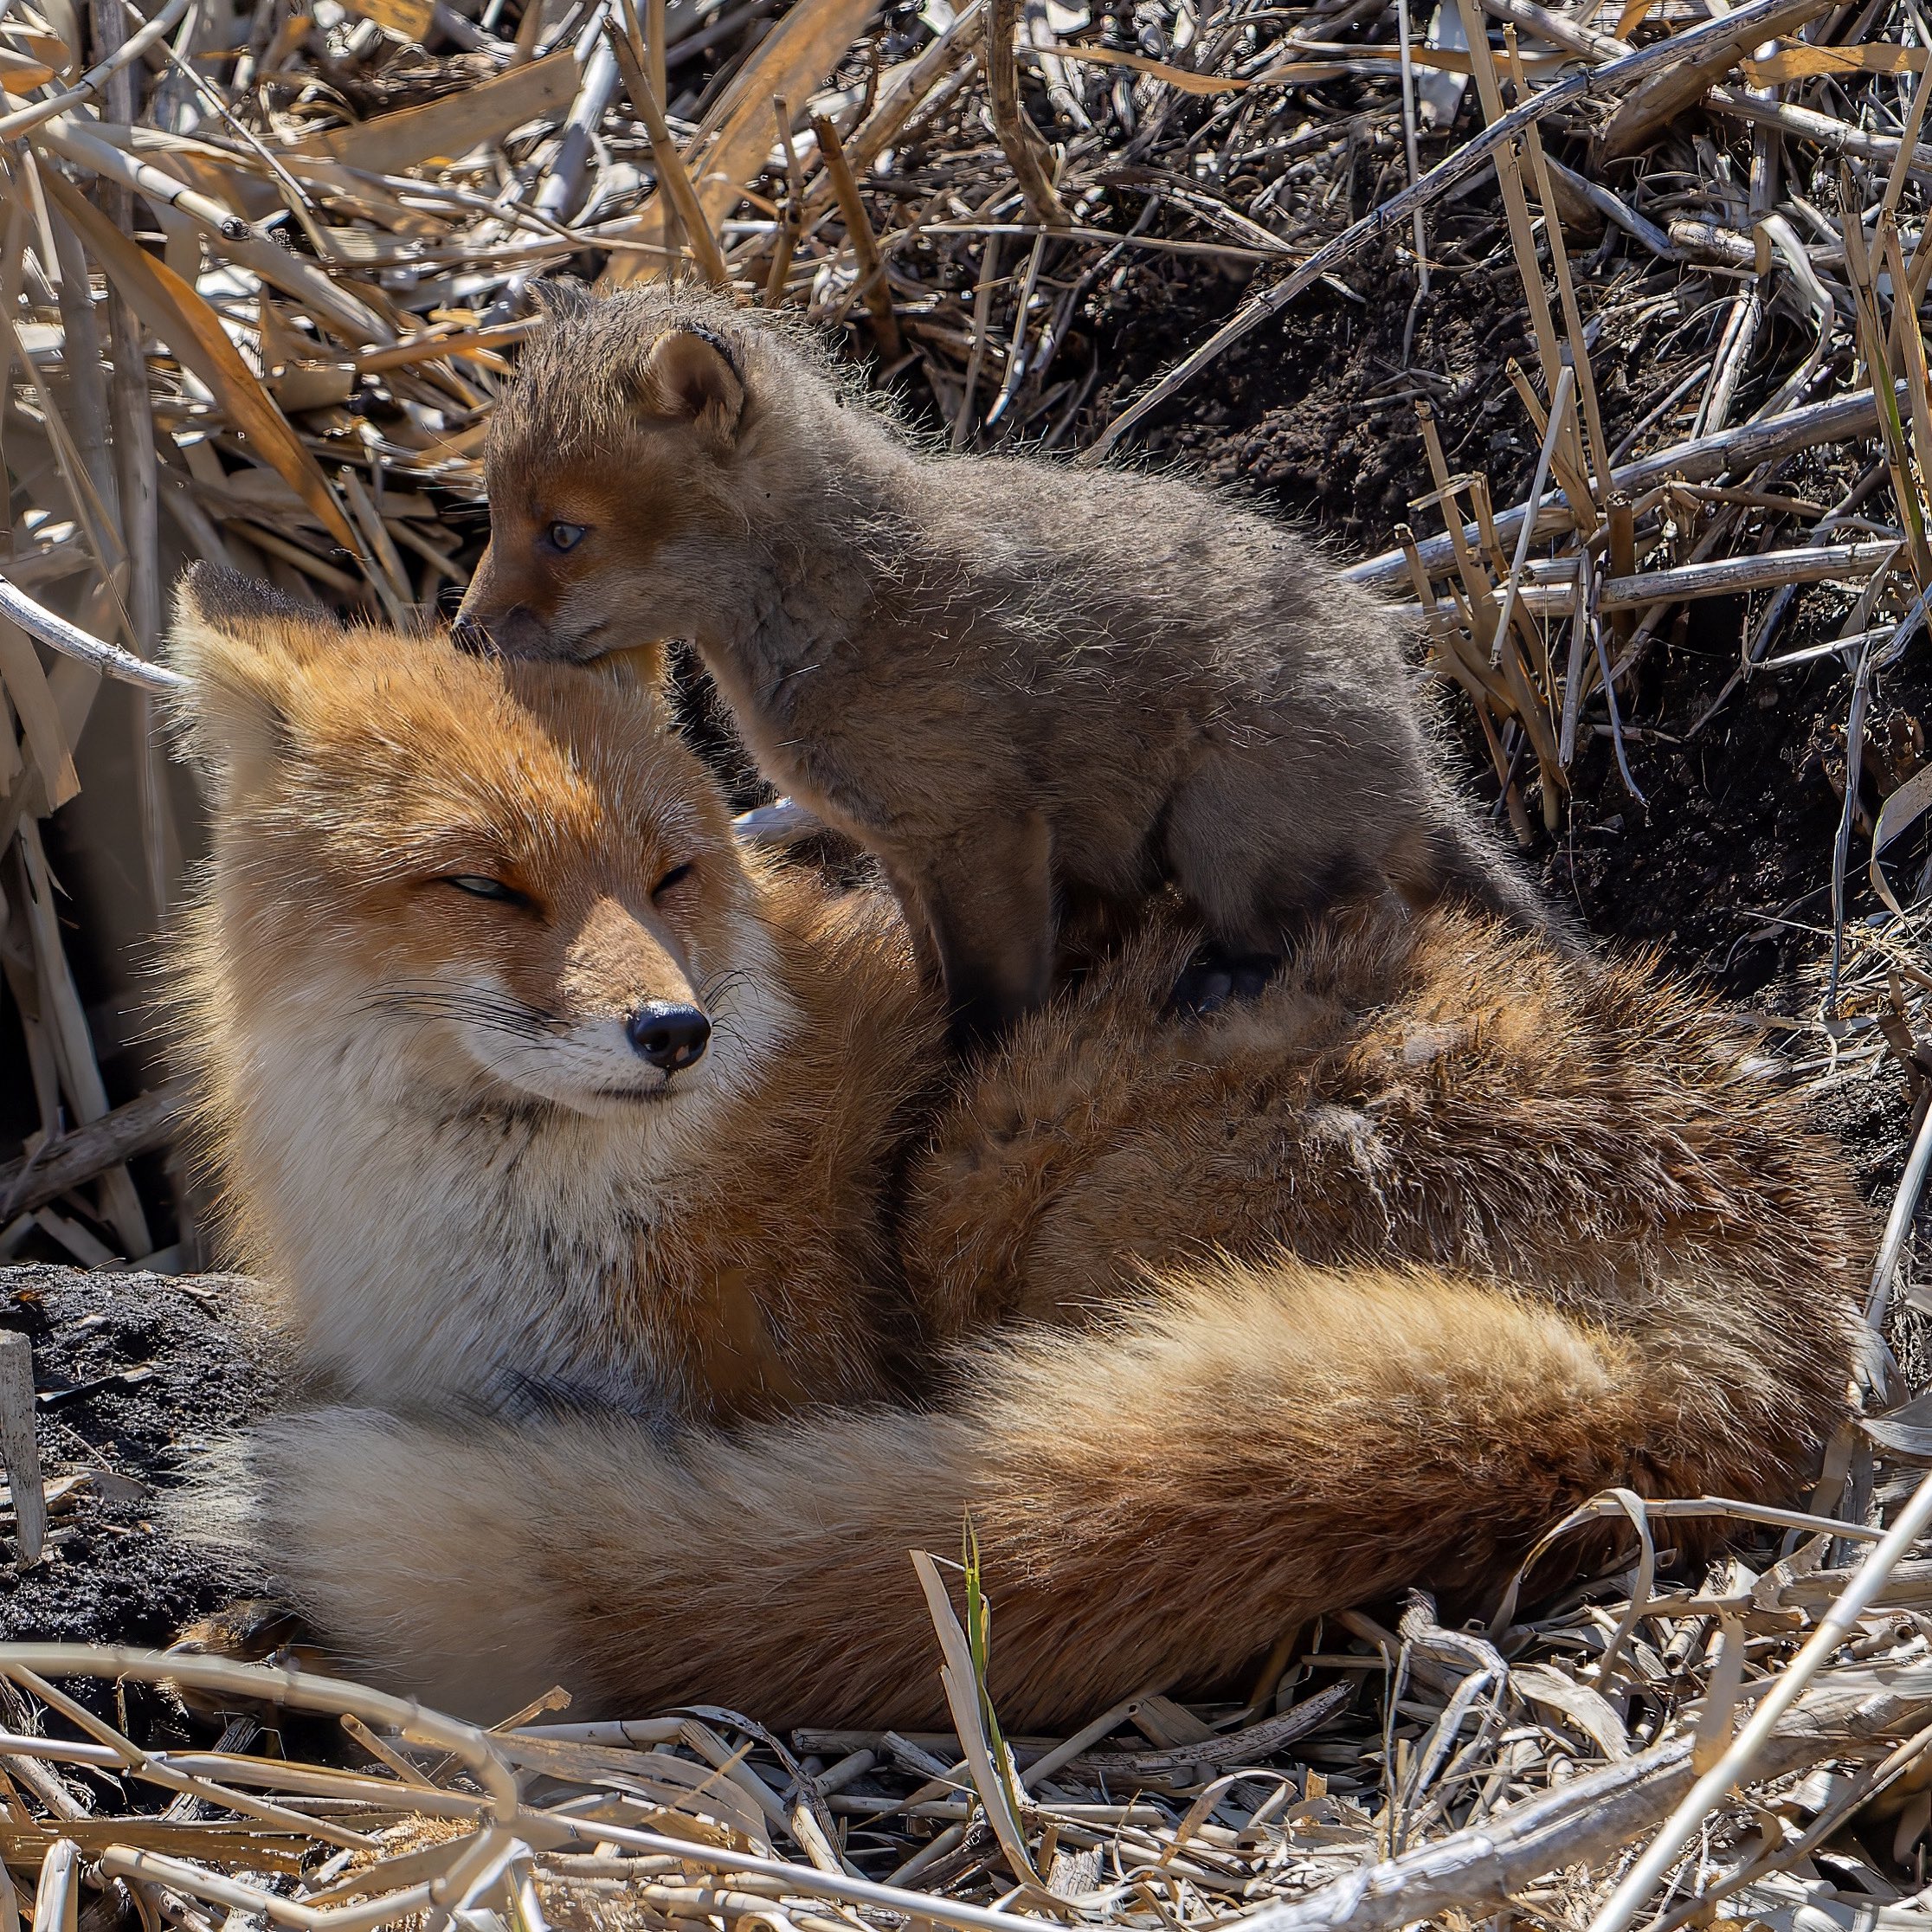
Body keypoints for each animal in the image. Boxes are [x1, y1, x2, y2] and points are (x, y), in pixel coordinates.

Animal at [457, 281, 1573, 1046]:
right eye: (494, 516)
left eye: (564, 533)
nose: (465, 632)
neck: (841, 605)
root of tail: (1420, 770)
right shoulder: (904, 847)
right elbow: (932, 976)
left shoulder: (982, 833)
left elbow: (990, 1006)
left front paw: (959, 1086)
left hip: (1224, 825)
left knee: (1357, 920)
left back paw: (1227, 980)